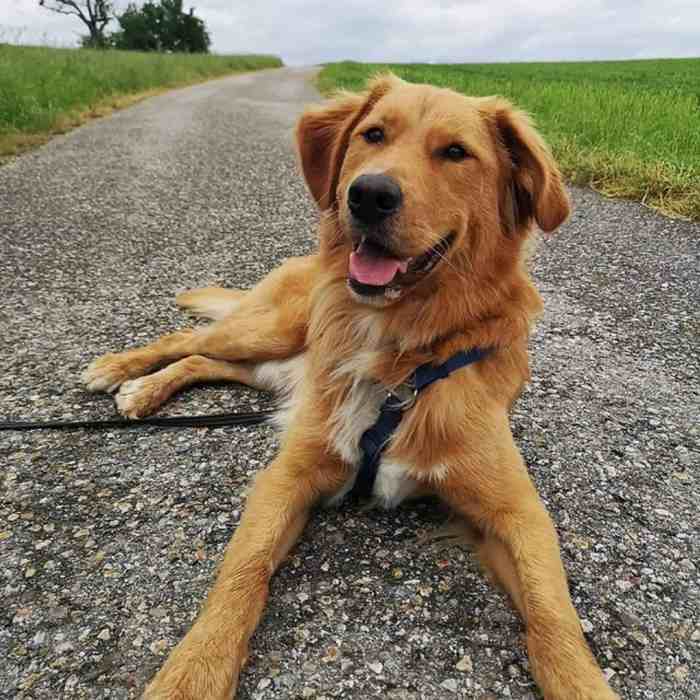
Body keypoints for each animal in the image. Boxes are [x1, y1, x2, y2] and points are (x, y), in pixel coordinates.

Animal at [83, 74, 616, 696]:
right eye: (373, 135)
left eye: (456, 152)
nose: (368, 195)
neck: (401, 358)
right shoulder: (288, 477)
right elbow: (242, 573)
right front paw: (192, 672)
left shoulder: (517, 512)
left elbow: (554, 617)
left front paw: (582, 681)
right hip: (271, 330)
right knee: (186, 339)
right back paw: (122, 372)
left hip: (275, 362)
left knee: (200, 360)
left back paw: (143, 388)